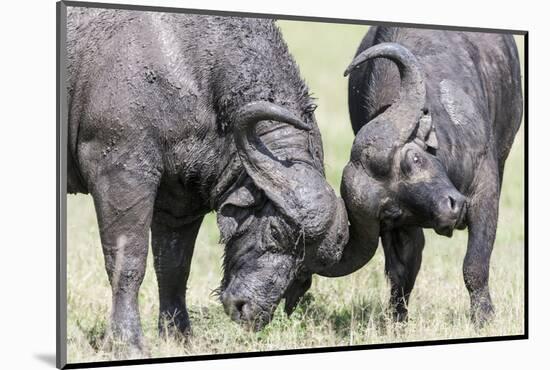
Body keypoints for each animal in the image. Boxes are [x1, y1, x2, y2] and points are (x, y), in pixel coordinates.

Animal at [66, 7, 350, 356]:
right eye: (276, 231)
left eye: (306, 267)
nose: (251, 312)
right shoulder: (121, 175)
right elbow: (127, 263)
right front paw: (127, 343)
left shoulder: (179, 204)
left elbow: (173, 268)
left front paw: (179, 336)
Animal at [316, 27, 524, 326]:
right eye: (392, 211)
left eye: (414, 159)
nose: (450, 210)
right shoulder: (400, 229)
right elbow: (402, 273)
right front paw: (397, 320)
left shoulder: (485, 189)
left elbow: (474, 265)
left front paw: (483, 318)